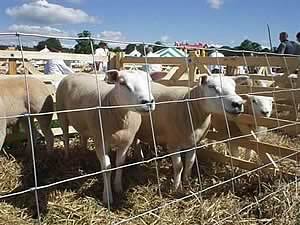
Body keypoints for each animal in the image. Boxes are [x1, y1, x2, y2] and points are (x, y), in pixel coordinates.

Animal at [55, 69, 165, 205]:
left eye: (150, 81)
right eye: (122, 83)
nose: (148, 102)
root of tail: (74, 73)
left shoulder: (126, 142)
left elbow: (120, 163)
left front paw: (118, 187)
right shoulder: (101, 140)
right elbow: (107, 168)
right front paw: (107, 197)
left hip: (83, 123)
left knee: (83, 137)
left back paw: (84, 153)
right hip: (61, 114)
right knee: (65, 136)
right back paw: (67, 156)